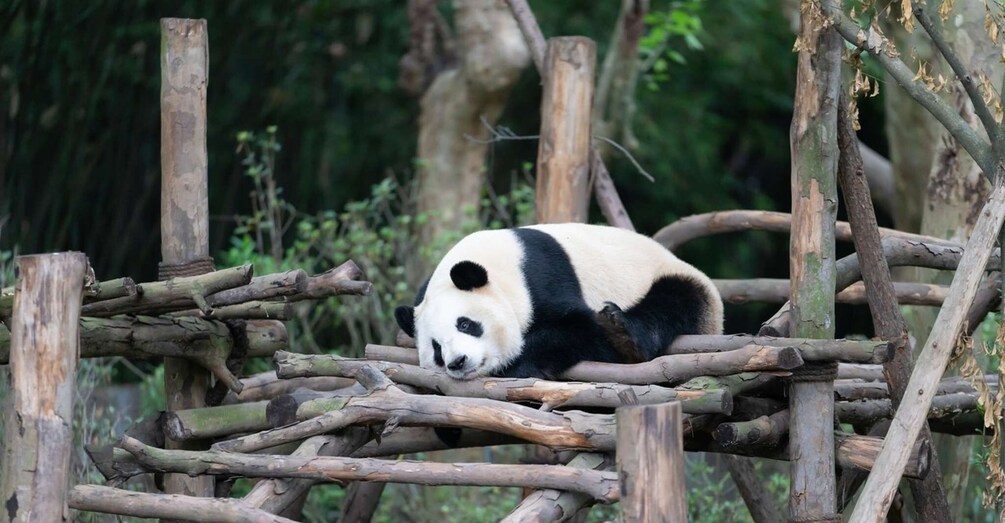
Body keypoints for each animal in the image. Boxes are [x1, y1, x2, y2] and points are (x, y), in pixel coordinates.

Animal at [393, 221, 723, 380]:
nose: (457, 362)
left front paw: (515, 363)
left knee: (672, 303)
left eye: (465, 324)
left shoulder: (543, 277)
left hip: (676, 281)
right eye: (436, 349)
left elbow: (582, 331)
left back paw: (625, 333)